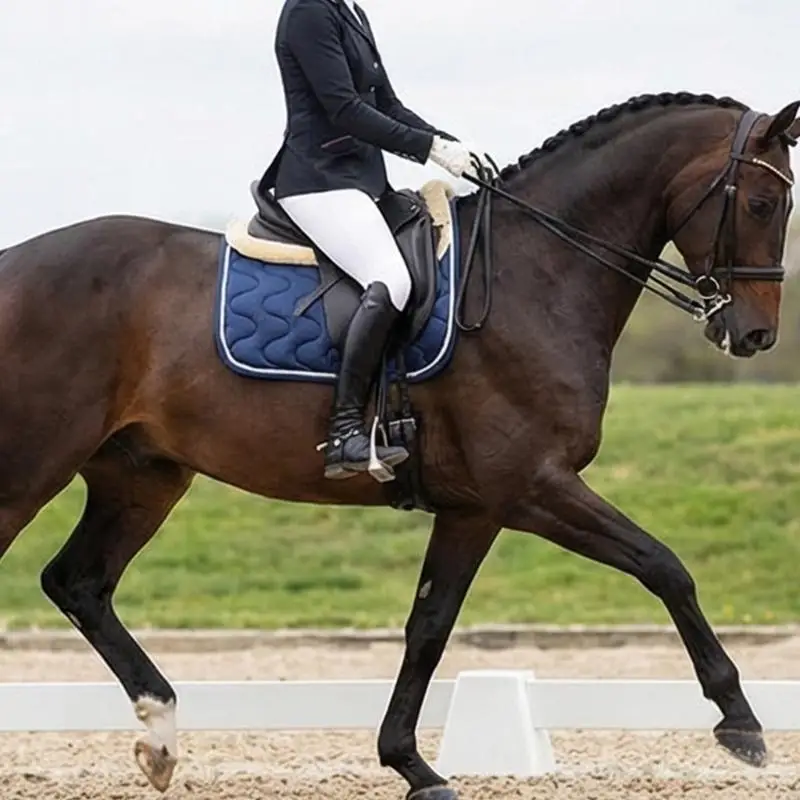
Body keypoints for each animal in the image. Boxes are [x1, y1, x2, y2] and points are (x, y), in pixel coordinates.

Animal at [0, 91, 797, 800]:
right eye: (763, 204)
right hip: (32, 468)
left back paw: (161, 737)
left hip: (143, 475)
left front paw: (412, 765)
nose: (755, 335)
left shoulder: (477, 507)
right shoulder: (533, 486)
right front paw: (741, 723)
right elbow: (664, 567)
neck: (536, 272)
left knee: (79, 583)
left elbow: (429, 625)